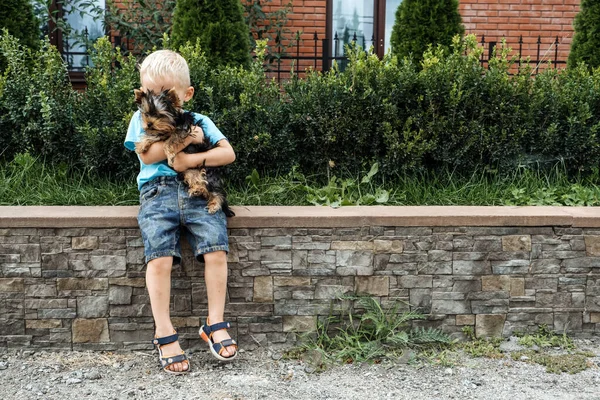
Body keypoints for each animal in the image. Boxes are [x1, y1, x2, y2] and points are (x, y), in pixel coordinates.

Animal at [135, 89, 236, 217]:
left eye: (160, 115)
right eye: (147, 114)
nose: (149, 124)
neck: (172, 122)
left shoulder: (184, 129)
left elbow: (169, 140)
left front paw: (169, 155)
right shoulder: (163, 131)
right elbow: (157, 135)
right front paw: (142, 145)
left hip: (210, 174)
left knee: (216, 191)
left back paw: (214, 204)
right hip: (190, 171)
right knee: (199, 182)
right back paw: (197, 189)